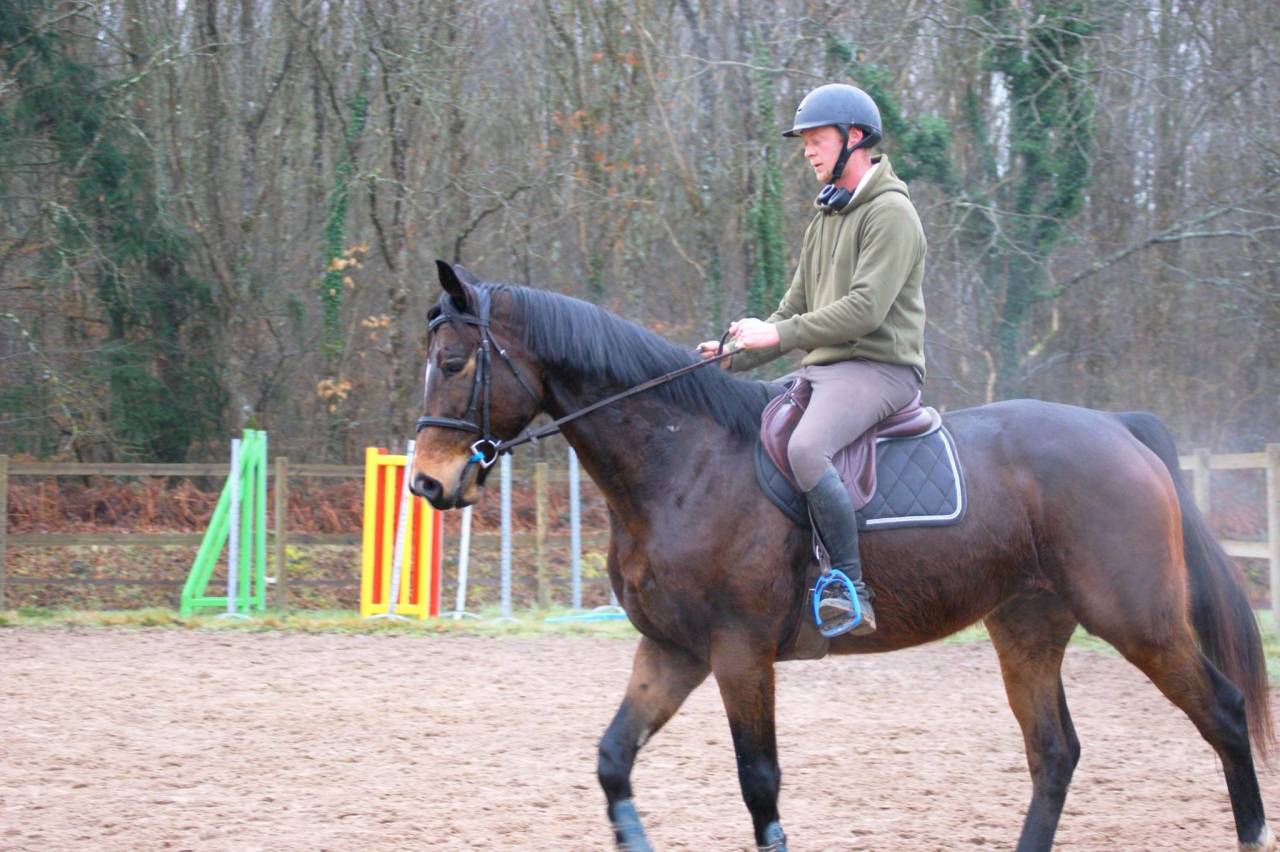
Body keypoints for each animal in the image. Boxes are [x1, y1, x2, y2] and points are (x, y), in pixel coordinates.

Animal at [409, 261, 1274, 852]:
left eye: (454, 364)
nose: (425, 481)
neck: (683, 461)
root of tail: (1119, 429)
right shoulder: (673, 650)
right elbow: (613, 759)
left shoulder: (738, 652)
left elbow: (760, 784)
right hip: (1027, 626)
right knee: (1054, 752)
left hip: (1138, 620)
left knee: (1223, 711)